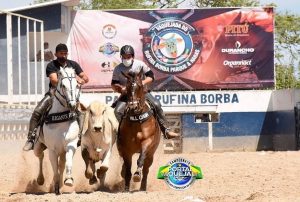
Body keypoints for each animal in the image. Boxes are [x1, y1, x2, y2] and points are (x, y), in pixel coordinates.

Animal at [33, 67, 81, 195]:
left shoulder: (70, 145)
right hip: (37, 146)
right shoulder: (52, 150)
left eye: (77, 85)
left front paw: (68, 180)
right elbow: (55, 169)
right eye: (63, 85)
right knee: (40, 156)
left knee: (62, 164)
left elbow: (67, 164)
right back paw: (40, 179)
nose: (72, 105)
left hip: (62, 152)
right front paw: (55, 186)